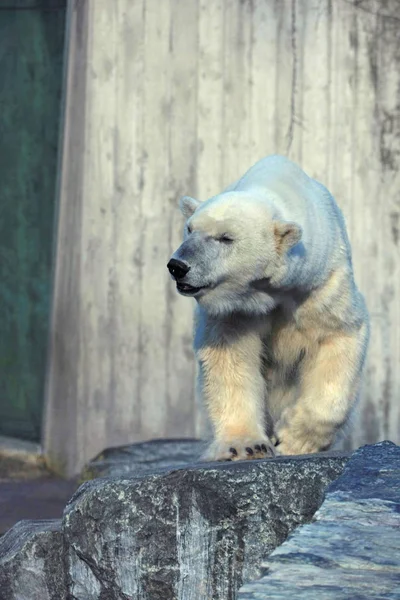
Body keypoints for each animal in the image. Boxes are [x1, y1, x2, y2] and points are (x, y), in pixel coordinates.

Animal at [166, 154, 368, 460]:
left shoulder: (321, 284)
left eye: (226, 238)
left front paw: (294, 441)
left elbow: (337, 336)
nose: (177, 266)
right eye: (189, 229)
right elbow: (231, 356)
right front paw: (245, 445)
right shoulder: (236, 310)